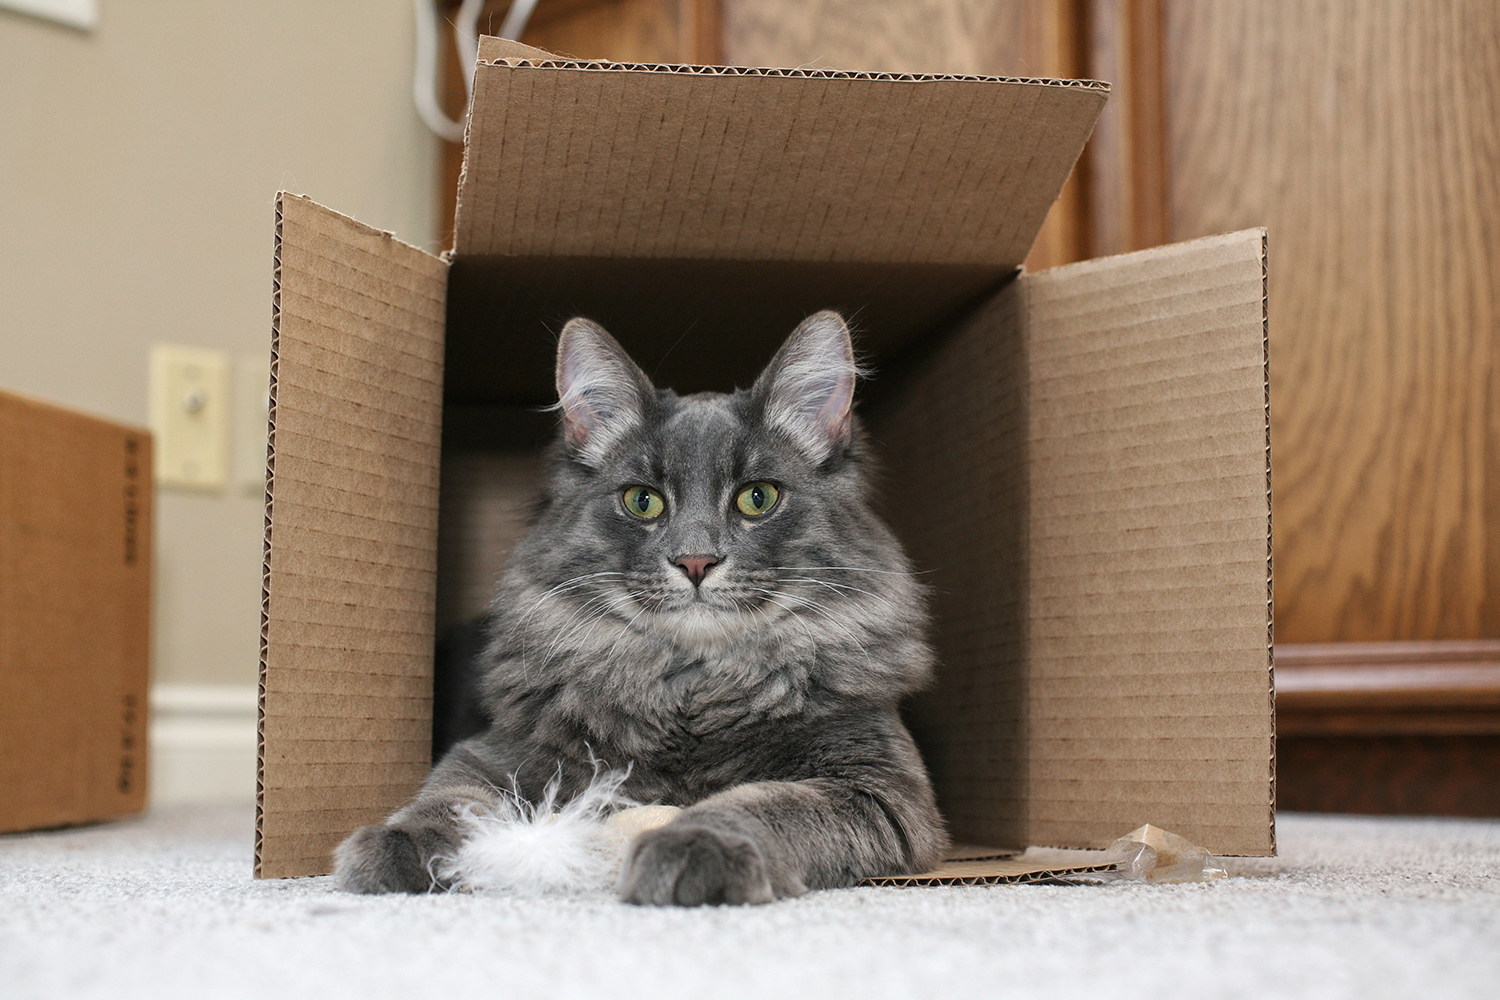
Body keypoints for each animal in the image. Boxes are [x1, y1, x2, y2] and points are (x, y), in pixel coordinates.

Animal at [342, 313, 948, 905]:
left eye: (758, 497)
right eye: (643, 501)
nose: (696, 560)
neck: (690, 685)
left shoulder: (878, 786)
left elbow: (763, 803)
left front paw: (694, 845)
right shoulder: (492, 751)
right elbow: (451, 797)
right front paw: (401, 845)